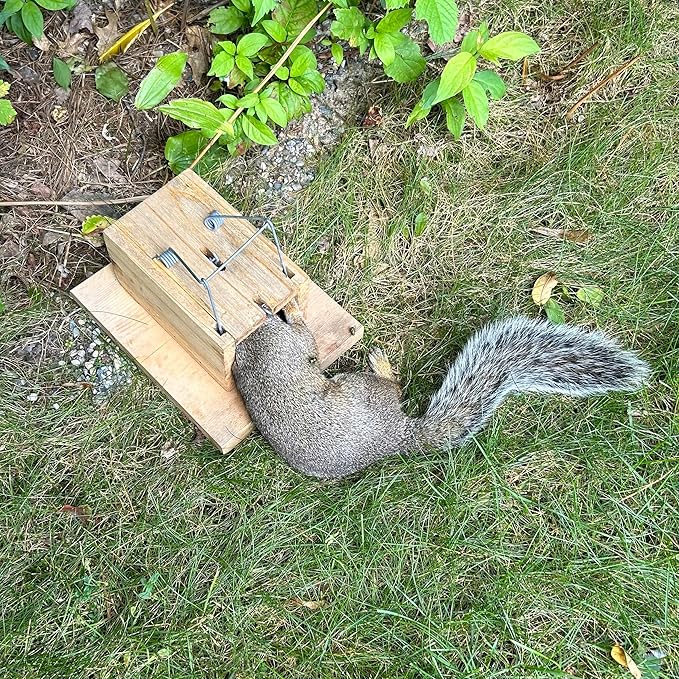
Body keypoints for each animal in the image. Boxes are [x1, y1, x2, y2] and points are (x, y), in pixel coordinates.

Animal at [232, 300, 650, 479]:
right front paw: (294, 311)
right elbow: (306, 341)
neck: (252, 352)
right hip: (360, 388)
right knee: (393, 385)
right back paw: (382, 365)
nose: (275, 309)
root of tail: (397, 435)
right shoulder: (287, 346)